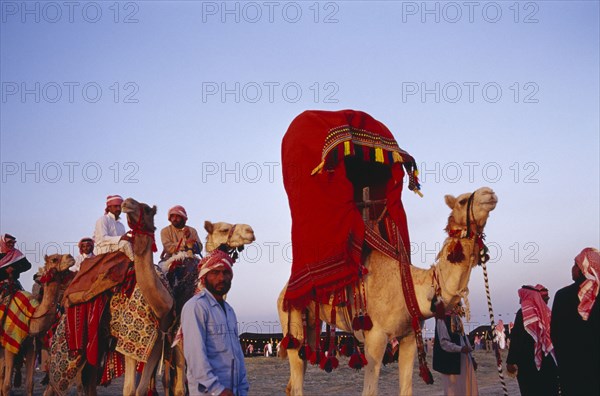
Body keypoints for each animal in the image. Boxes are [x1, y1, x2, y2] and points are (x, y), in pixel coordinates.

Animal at [0, 254, 75, 396]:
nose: (71, 257)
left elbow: (30, 384)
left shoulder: (31, 345)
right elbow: (7, 385)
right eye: (54, 259)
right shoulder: (10, 343)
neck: (31, 316)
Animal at [278, 187, 500, 394]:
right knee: (296, 379)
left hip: (310, 326)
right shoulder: (375, 336)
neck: (410, 287)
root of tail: (283, 293)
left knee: (295, 375)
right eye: (462, 201)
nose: (490, 193)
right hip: (292, 320)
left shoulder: (409, 337)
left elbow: (406, 388)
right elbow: (370, 391)